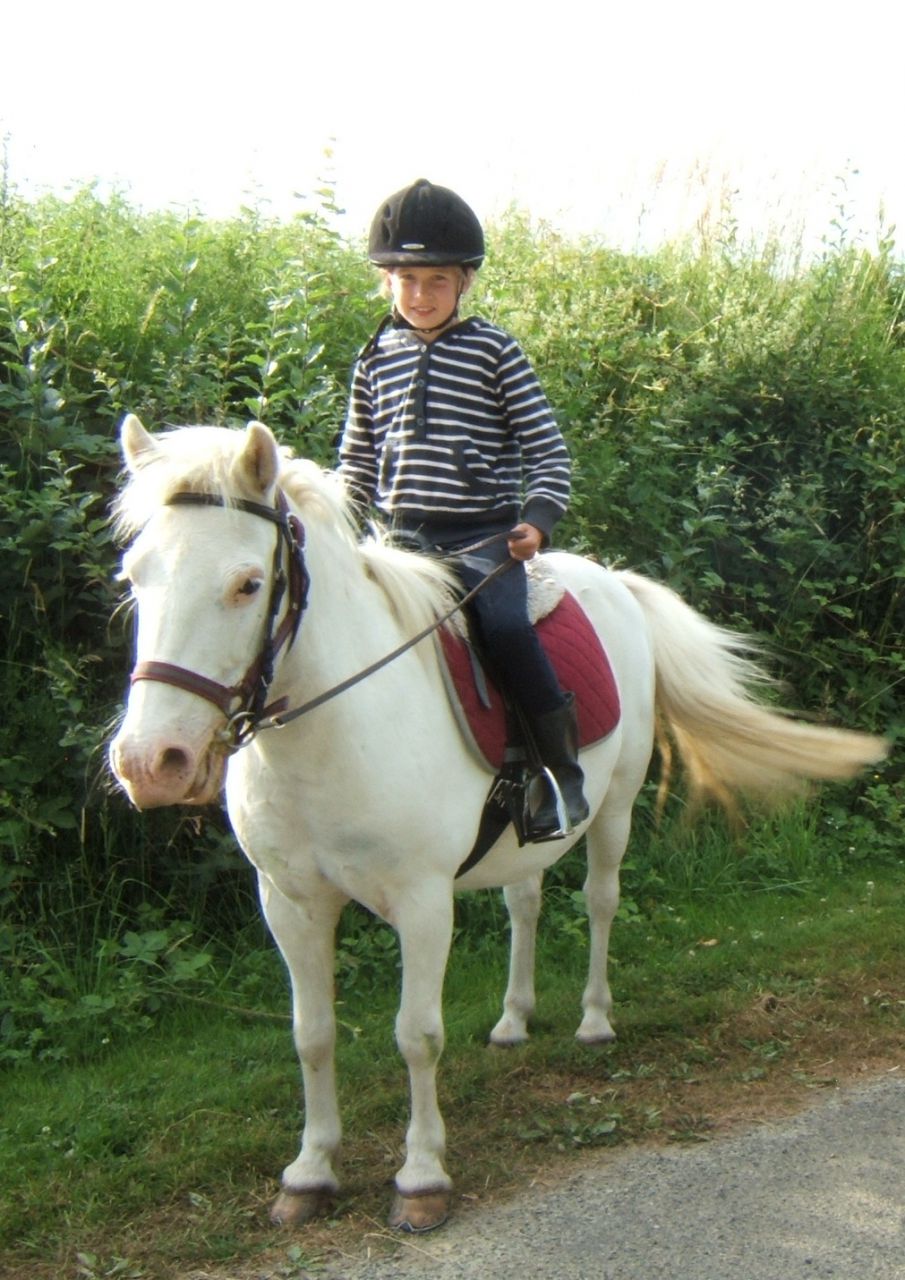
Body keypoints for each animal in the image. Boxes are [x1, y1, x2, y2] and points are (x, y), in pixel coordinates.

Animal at [109, 414, 887, 1233]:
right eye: (135, 577)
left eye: (247, 584)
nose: (152, 762)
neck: (334, 728)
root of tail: (614, 581)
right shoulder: (290, 903)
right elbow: (311, 1035)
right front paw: (311, 1172)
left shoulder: (422, 903)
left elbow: (416, 1035)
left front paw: (422, 1176)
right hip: (521, 841)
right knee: (525, 904)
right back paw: (514, 1019)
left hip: (613, 810)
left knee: (600, 902)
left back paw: (593, 1020)